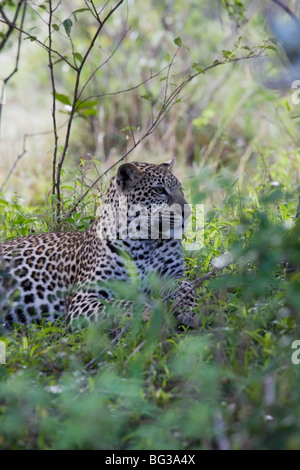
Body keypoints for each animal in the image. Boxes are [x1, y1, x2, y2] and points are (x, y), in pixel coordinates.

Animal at [0, 160, 197, 332]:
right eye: (159, 190)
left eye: (180, 189)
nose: (187, 212)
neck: (145, 242)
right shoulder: (83, 298)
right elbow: (118, 305)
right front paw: (150, 312)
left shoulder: (172, 275)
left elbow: (188, 287)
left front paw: (189, 311)